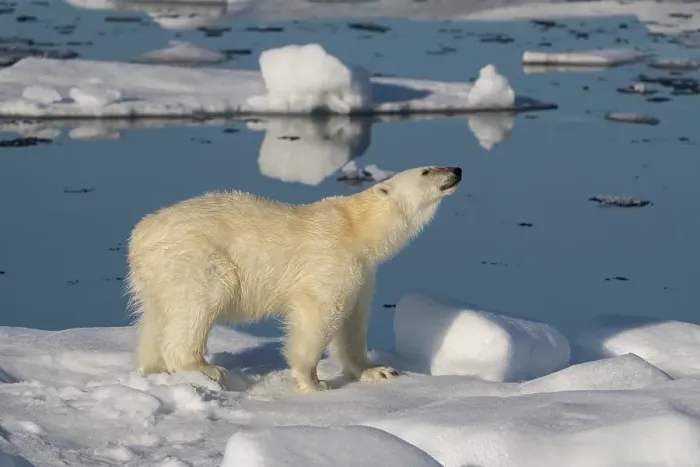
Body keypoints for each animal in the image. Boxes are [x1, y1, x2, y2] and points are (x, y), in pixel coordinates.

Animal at [125, 165, 462, 393]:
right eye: (427, 170)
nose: (456, 170)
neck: (357, 227)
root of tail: (140, 234)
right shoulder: (331, 258)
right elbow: (320, 315)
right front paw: (313, 382)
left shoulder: (363, 272)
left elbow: (353, 321)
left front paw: (377, 371)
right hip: (196, 255)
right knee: (201, 300)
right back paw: (205, 368)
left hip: (155, 273)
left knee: (157, 315)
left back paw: (153, 366)